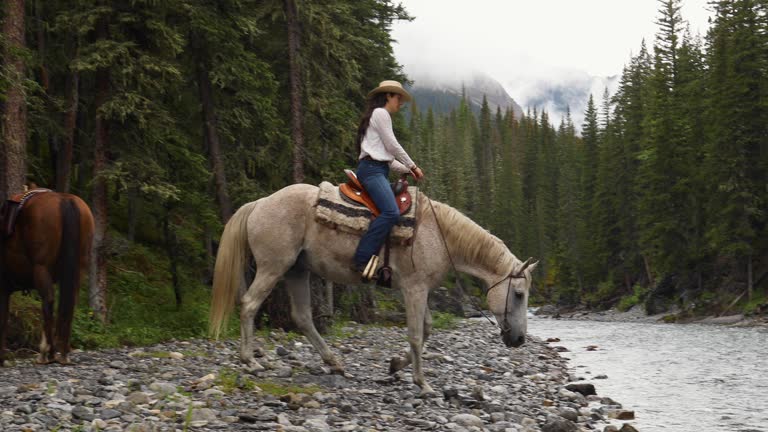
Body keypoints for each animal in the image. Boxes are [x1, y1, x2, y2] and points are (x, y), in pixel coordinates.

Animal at [0, 192, 94, 364]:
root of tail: (64, 199)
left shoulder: (2, 288)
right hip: (79, 270)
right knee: (69, 304)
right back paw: (62, 352)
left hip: (41, 268)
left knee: (48, 301)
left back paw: (46, 352)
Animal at [207, 184, 536, 396]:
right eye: (518, 294)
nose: (519, 340)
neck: (439, 235)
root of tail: (259, 203)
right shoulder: (415, 288)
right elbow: (417, 335)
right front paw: (423, 384)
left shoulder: (418, 289)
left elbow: (427, 330)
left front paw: (395, 365)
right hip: (273, 266)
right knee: (249, 304)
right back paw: (250, 362)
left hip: (297, 271)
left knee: (302, 317)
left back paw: (335, 363)